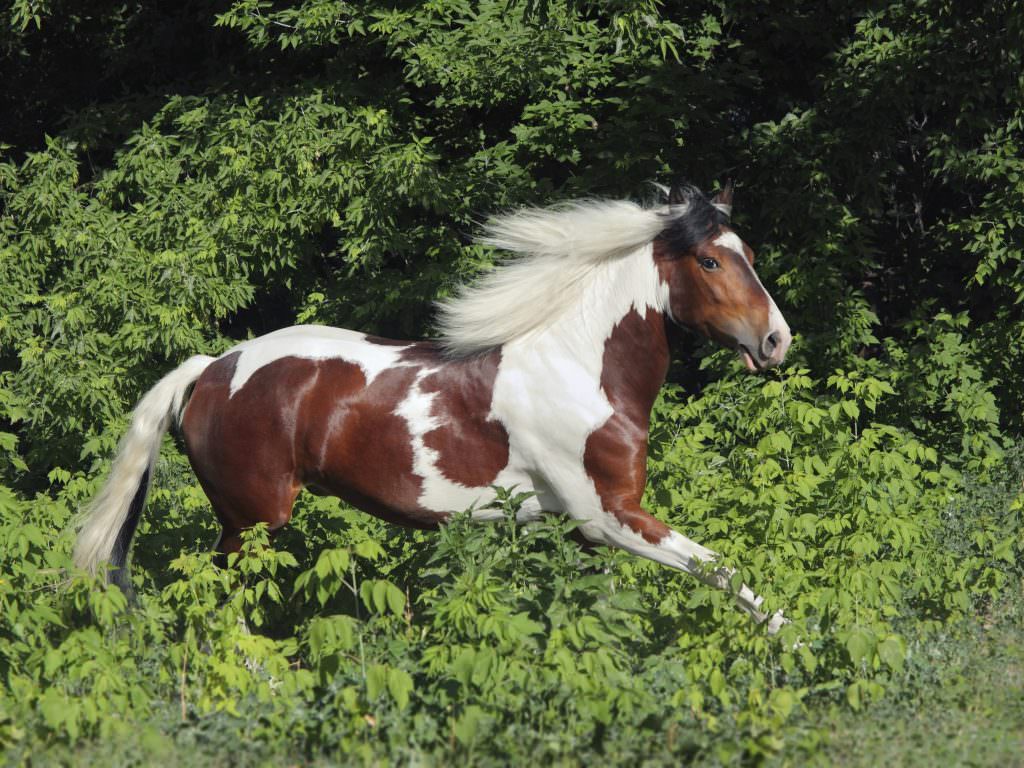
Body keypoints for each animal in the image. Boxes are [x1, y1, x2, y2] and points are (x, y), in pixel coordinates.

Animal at [73, 182, 793, 633]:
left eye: (751, 255)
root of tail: (213, 369)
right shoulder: (610, 515)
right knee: (220, 606)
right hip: (252, 524)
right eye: (708, 261)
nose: (776, 340)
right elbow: (723, 571)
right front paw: (796, 647)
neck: (579, 370)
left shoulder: (582, 534)